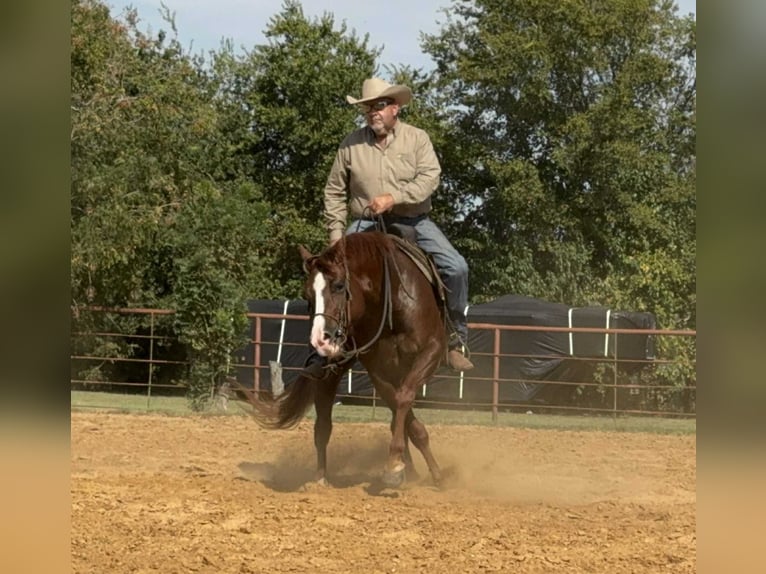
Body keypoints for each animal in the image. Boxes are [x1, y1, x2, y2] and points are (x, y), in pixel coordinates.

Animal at [239, 230, 448, 488]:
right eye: (306, 295)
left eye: (339, 286)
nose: (320, 340)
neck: (392, 301)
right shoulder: (379, 371)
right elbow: (404, 413)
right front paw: (399, 466)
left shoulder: (431, 351)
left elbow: (404, 402)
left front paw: (410, 468)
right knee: (324, 424)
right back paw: (320, 478)